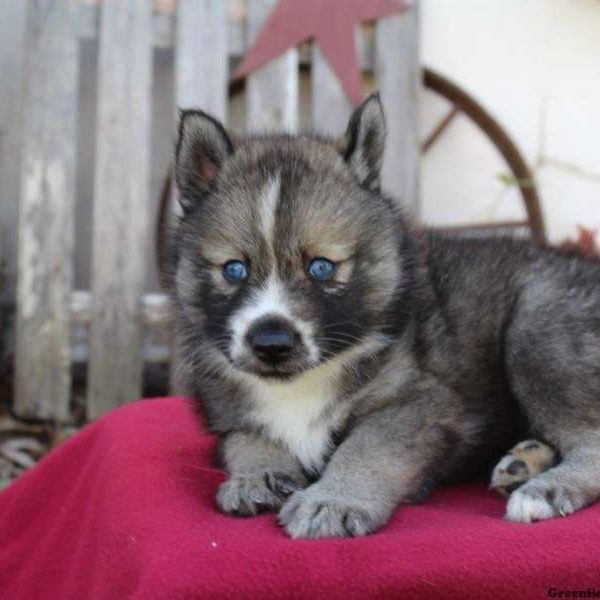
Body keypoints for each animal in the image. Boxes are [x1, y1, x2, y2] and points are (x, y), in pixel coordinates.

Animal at [168, 95, 600, 540]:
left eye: (321, 267)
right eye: (234, 269)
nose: (271, 343)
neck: (303, 383)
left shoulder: (419, 403)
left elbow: (366, 448)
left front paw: (333, 500)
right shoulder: (228, 416)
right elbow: (247, 438)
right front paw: (256, 475)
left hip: (538, 331)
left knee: (591, 437)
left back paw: (546, 488)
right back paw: (524, 462)